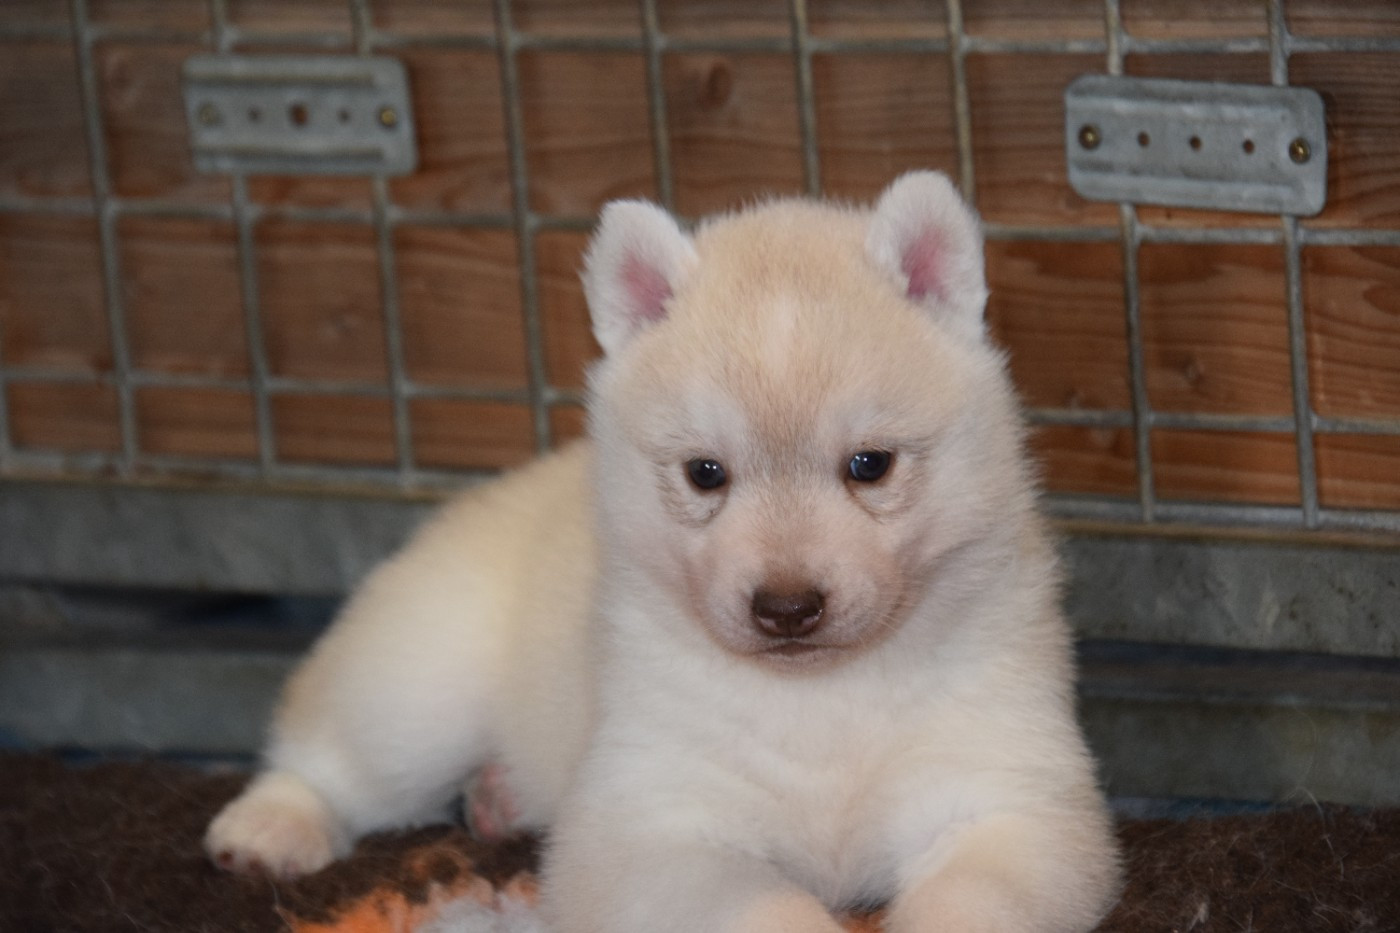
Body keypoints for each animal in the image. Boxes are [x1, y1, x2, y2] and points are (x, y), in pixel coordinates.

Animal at [206, 171, 1121, 933]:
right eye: (704, 472)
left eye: (871, 464)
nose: (787, 606)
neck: (820, 701)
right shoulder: (650, 830)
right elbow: (768, 907)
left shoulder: (1012, 805)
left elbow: (973, 896)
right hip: (419, 686)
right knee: (334, 750)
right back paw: (273, 823)